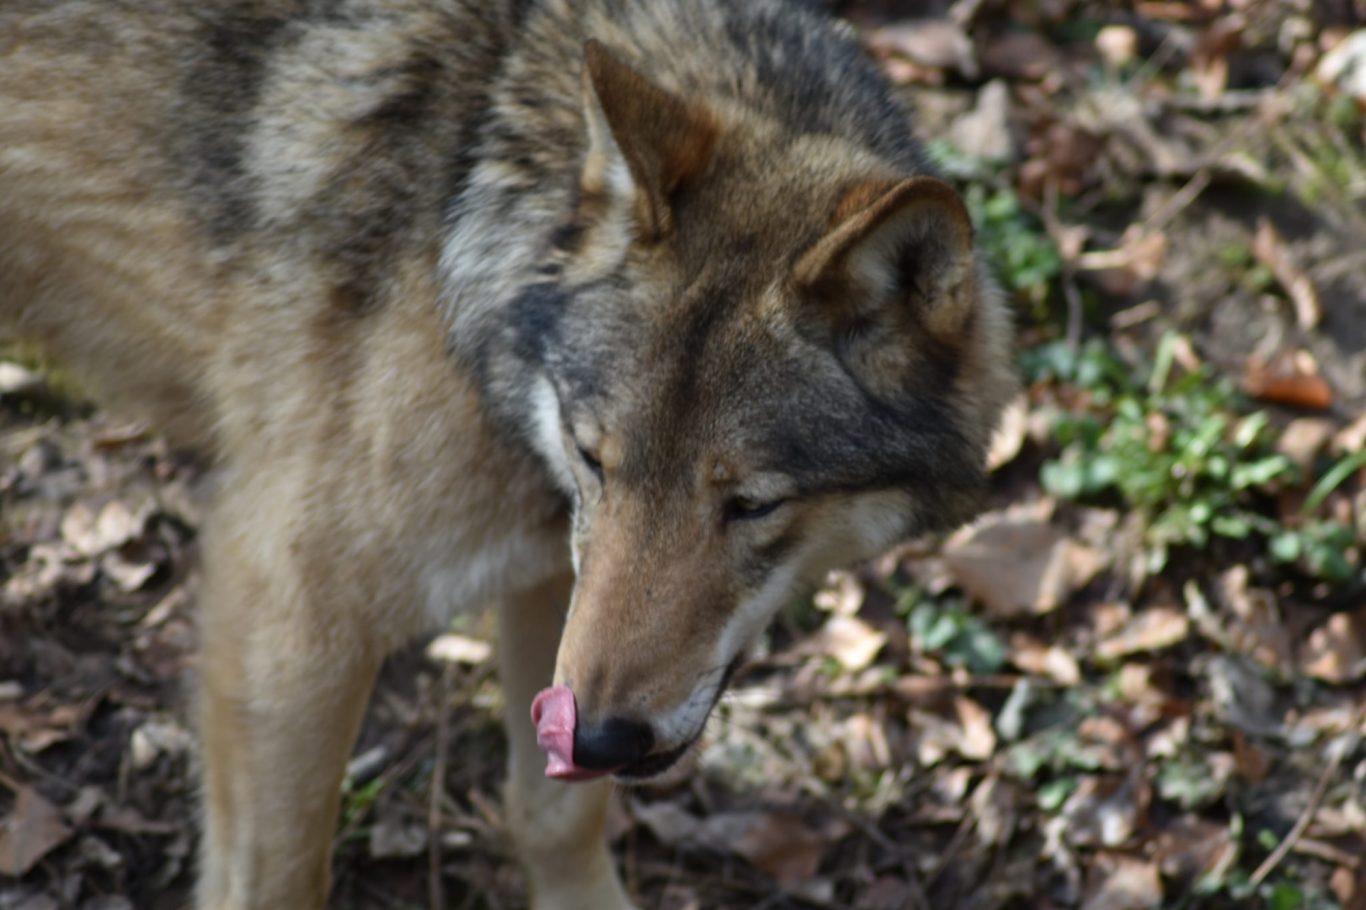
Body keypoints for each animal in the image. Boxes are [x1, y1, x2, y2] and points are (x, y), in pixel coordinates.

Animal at [0, 0, 1014, 906]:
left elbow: (554, 817)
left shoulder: (551, 579)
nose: (605, 741)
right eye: (596, 460)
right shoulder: (285, 617)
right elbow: (282, 878)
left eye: (751, 504)